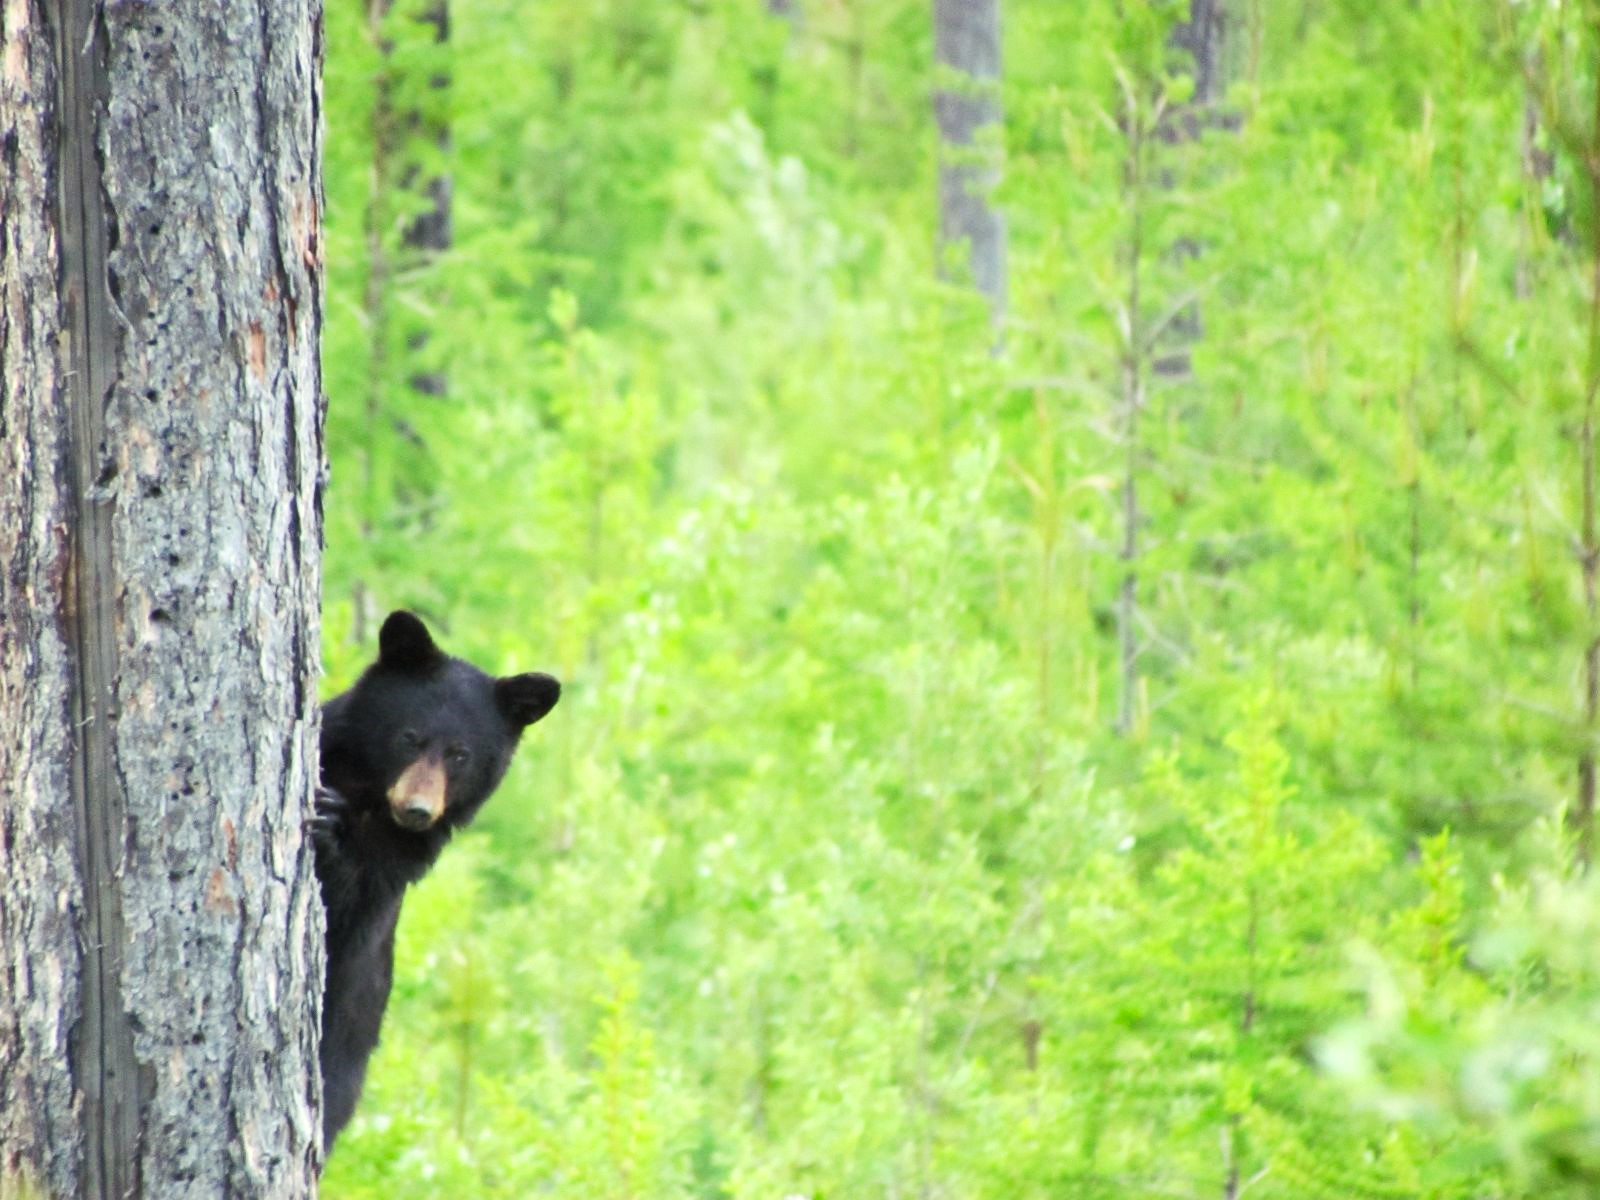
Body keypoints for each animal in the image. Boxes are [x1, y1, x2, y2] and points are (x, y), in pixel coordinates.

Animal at [310, 609, 560, 1151]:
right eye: (410, 737)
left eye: (460, 755)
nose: (418, 810)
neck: (369, 798)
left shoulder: (398, 862)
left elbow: (353, 914)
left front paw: (328, 832)